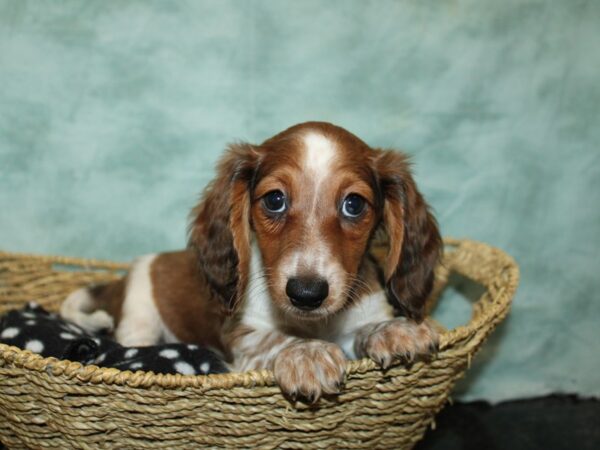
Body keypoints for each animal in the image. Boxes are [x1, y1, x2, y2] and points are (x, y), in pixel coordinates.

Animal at [63, 121, 442, 402]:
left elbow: (364, 328)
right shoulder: (242, 338)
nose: (306, 294)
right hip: (138, 321)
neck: (313, 324)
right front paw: (307, 354)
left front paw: (393, 331)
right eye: (275, 200)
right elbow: (274, 339)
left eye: (354, 204)